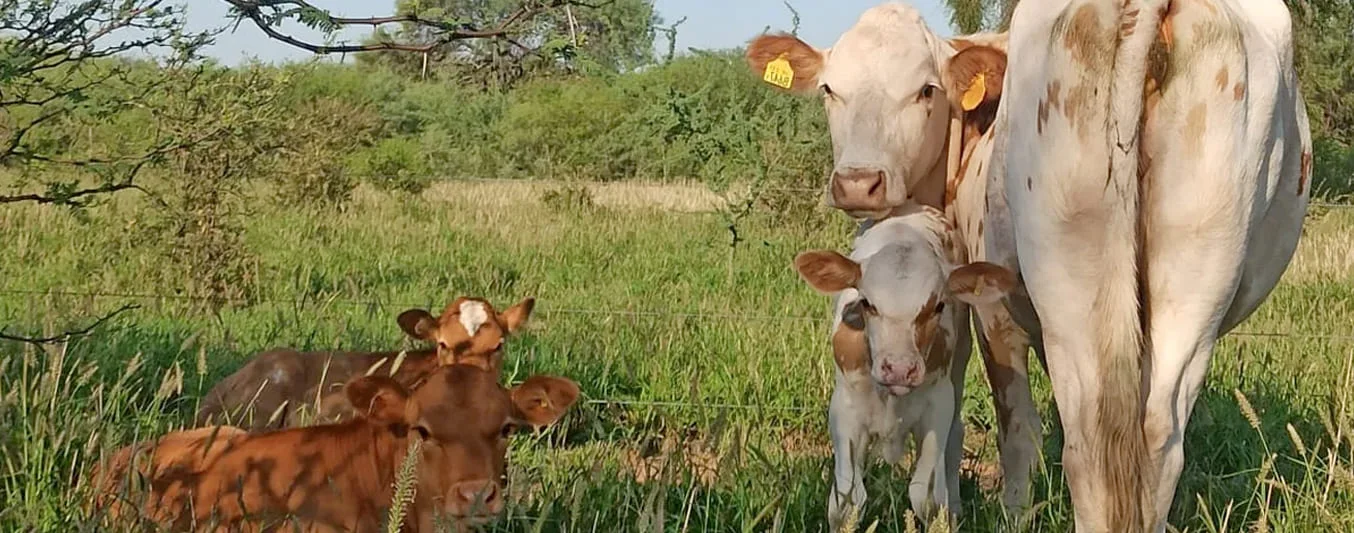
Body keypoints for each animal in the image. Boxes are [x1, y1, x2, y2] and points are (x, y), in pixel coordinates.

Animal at [792, 204, 1018, 528]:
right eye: (867, 303)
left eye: (937, 305)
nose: (899, 369)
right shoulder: (844, 408)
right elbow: (847, 501)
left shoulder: (938, 406)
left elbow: (929, 498)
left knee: (955, 438)